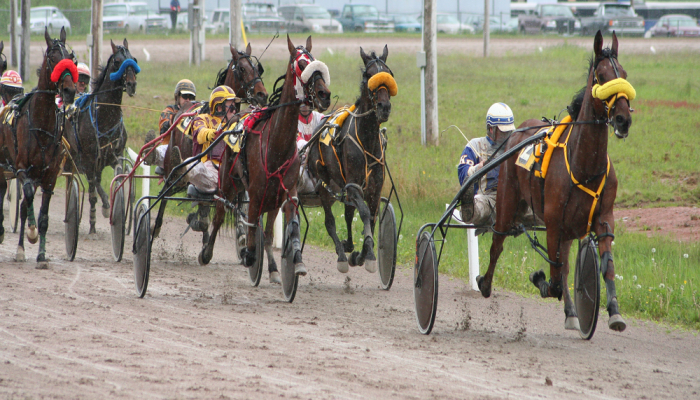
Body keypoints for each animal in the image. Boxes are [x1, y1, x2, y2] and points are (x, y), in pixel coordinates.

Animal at [0, 28, 77, 266]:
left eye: (70, 58)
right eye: (53, 59)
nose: (70, 90)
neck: (42, 125)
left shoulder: (50, 176)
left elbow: (43, 216)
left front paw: (42, 255)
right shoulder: (21, 169)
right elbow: (27, 197)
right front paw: (31, 233)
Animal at [67, 38, 139, 234]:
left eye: (133, 59)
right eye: (117, 62)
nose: (132, 84)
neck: (105, 116)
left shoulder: (116, 155)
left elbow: (119, 175)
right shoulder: (89, 158)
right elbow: (93, 192)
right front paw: (97, 217)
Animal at [198, 36, 332, 280]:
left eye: (315, 60)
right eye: (301, 64)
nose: (324, 95)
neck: (277, 145)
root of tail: (234, 118)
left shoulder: (286, 192)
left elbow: (279, 229)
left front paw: (292, 263)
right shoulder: (256, 191)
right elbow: (251, 225)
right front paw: (249, 255)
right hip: (228, 182)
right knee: (220, 213)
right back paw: (207, 253)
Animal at [306, 45, 394, 274]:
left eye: (388, 74)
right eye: (369, 76)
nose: (384, 107)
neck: (367, 139)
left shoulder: (374, 188)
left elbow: (371, 217)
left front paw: (361, 254)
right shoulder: (354, 186)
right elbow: (363, 213)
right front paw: (368, 254)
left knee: (347, 213)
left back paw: (349, 246)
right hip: (324, 184)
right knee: (329, 222)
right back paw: (341, 255)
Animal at [476, 30, 636, 332]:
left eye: (623, 73)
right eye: (601, 76)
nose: (623, 119)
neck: (584, 165)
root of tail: (517, 132)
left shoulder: (603, 218)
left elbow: (604, 266)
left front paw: (614, 311)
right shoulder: (553, 222)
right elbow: (553, 278)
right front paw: (538, 278)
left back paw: (572, 312)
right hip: (507, 202)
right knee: (497, 242)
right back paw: (484, 283)